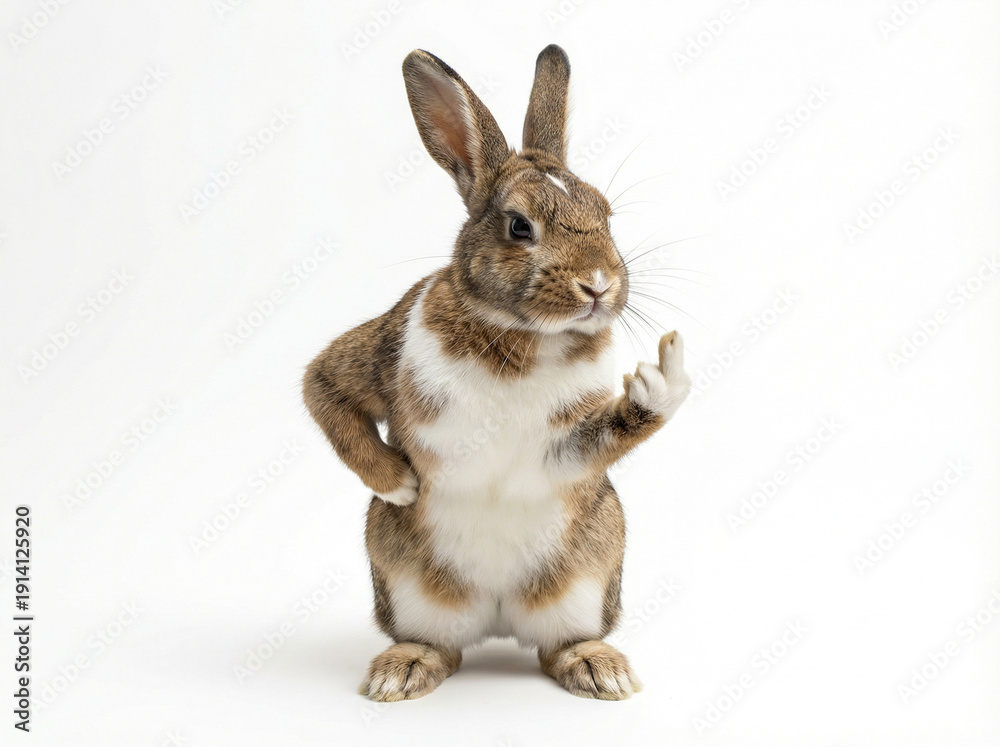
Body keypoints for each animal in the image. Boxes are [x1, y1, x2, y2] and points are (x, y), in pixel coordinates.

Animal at [303, 44, 691, 702]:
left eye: (606, 214)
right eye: (518, 226)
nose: (598, 284)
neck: (525, 336)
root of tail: (498, 617)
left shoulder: (567, 447)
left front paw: (660, 378)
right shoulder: (369, 356)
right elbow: (325, 392)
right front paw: (400, 484)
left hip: (587, 575)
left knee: (559, 644)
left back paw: (601, 671)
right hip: (406, 587)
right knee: (437, 644)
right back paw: (399, 673)